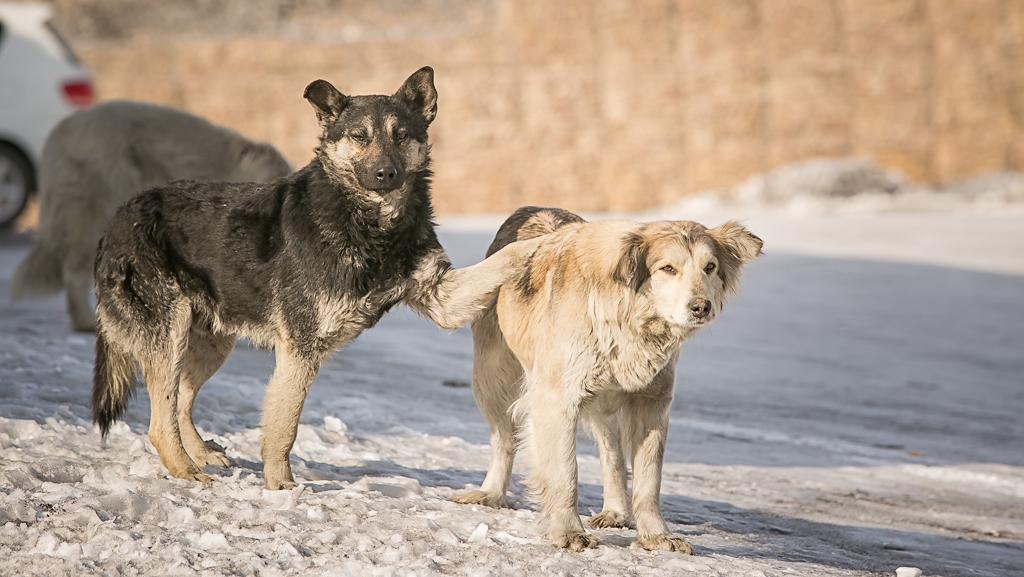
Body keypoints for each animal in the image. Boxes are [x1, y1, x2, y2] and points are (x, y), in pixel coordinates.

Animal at [93, 68, 540, 491]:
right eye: (359, 136)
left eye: (401, 135)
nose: (386, 173)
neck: (369, 224)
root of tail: (117, 218)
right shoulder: (300, 351)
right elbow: (284, 426)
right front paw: (280, 486)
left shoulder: (441, 297)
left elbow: (500, 261)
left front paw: (540, 240)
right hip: (169, 337)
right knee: (159, 420)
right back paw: (186, 470)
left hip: (209, 343)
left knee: (181, 401)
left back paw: (200, 453)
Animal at [456, 208, 761, 553]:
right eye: (668, 269)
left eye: (710, 267)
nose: (701, 307)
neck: (628, 317)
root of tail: (527, 210)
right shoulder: (557, 399)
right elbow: (566, 473)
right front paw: (568, 531)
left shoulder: (651, 402)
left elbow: (648, 481)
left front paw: (656, 535)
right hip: (493, 380)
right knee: (504, 440)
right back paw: (491, 493)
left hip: (603, 402)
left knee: (611, 452)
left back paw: (615, 511)